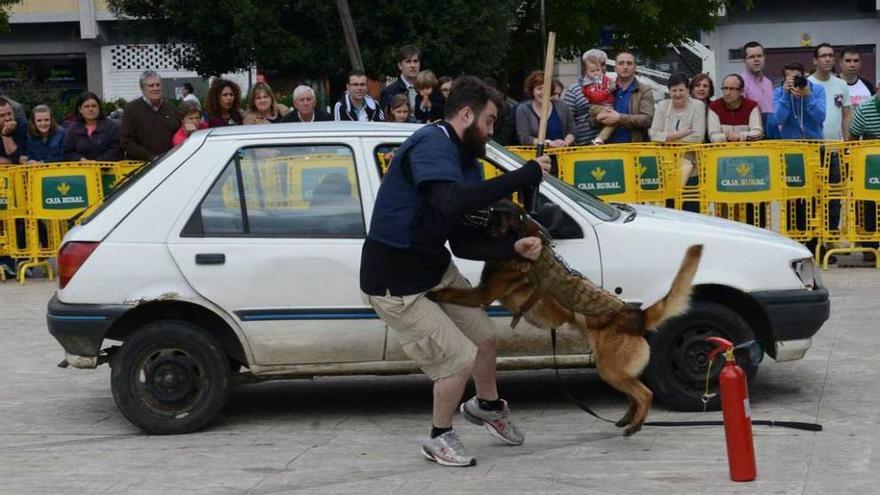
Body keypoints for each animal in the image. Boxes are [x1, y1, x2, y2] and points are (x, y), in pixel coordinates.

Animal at [430, 200, 704, 436]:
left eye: (497, 212)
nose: (463, 212)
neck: (518, 237)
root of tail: (634, 314)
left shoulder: (482, 294)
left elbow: (453, 292)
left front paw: (435, 292)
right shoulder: (482, 291)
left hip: (610, 369)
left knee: (645, 394)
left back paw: (635, 425)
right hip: (615, 369)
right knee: (633, 394)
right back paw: (627, 418)